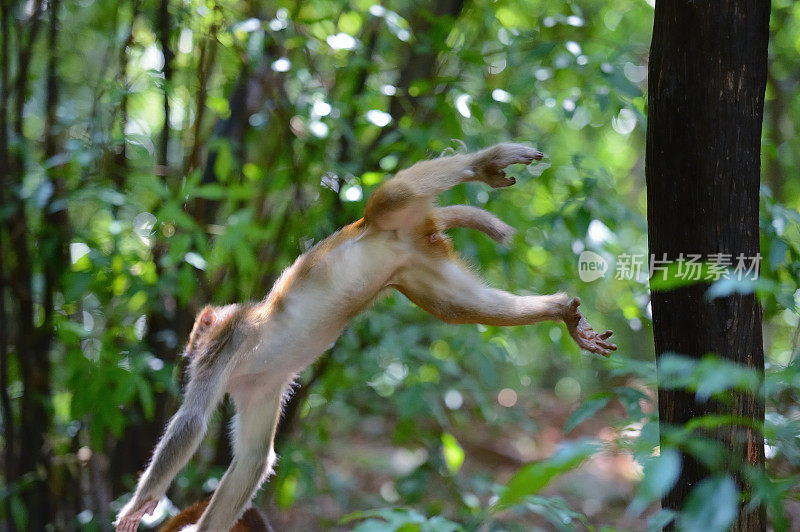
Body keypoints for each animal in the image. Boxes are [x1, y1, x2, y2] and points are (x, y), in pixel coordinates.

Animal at [114, 143, 612, 528]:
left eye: (197, 338)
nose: (187, 353)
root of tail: (409, 233)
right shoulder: (259, 386)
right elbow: (254, 458)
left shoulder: (227, 342)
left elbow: (192, 420)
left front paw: (139, 504)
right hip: (418, 266)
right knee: (460, 308)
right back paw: (560, 311)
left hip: (391, 219)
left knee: (394, 194)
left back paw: (486, 161)